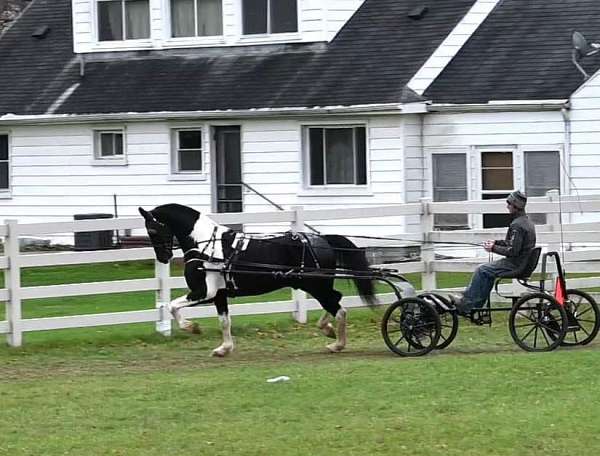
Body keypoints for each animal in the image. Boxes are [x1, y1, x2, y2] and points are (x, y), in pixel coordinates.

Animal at [139, 203, 378, 356]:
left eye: (152, 229)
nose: (163, 257)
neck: (206, 246)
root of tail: (322, 239)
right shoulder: (219, 294)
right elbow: (224, 321)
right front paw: (224, 348)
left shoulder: (203, 292)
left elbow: (172, 306)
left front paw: (191, 327)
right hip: (314, 284)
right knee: (336, 299)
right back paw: (327, 329)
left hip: (316, 285)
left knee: (339, 308)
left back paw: (337, 344)